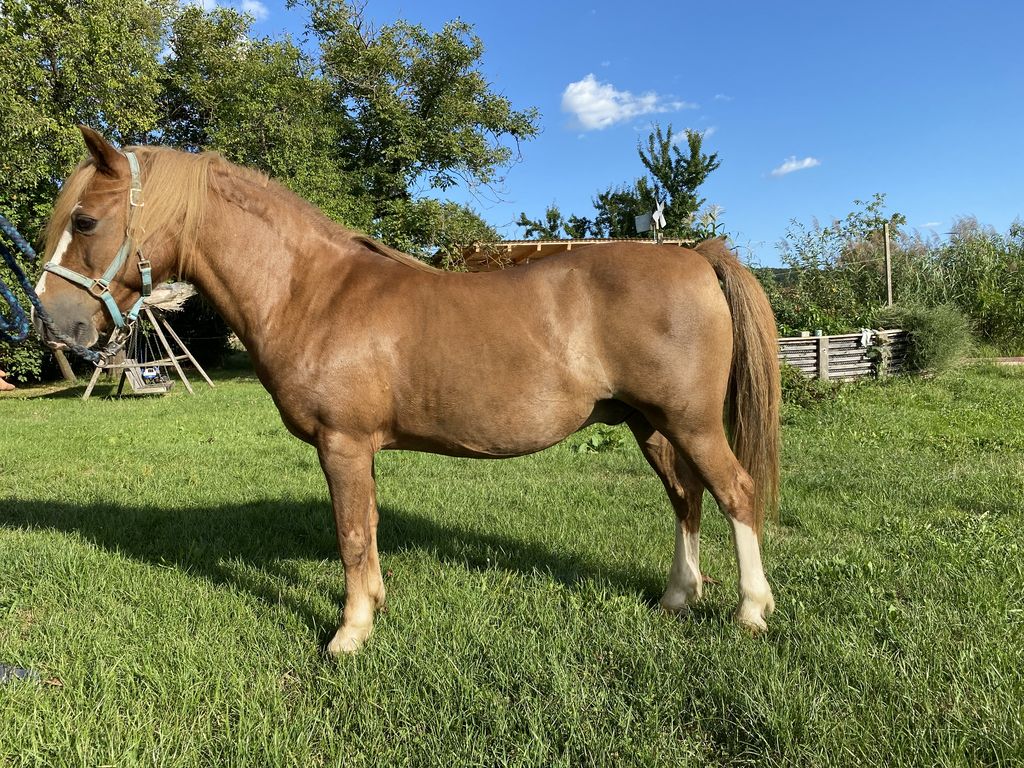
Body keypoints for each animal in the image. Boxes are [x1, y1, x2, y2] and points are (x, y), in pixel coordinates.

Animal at [34, 126, 781, 654]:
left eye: (86, 222)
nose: (53, 323)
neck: (313, 291)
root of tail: (696, 256)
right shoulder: (359, 448)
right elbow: (367, 529)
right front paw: (375, 608)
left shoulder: (341, 444)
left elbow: (350, 535)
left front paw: (348, 634)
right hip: (648, 422)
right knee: (686, 498)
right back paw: (677, 598)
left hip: (689, 422)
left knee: (736, 494)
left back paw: (750, 611)